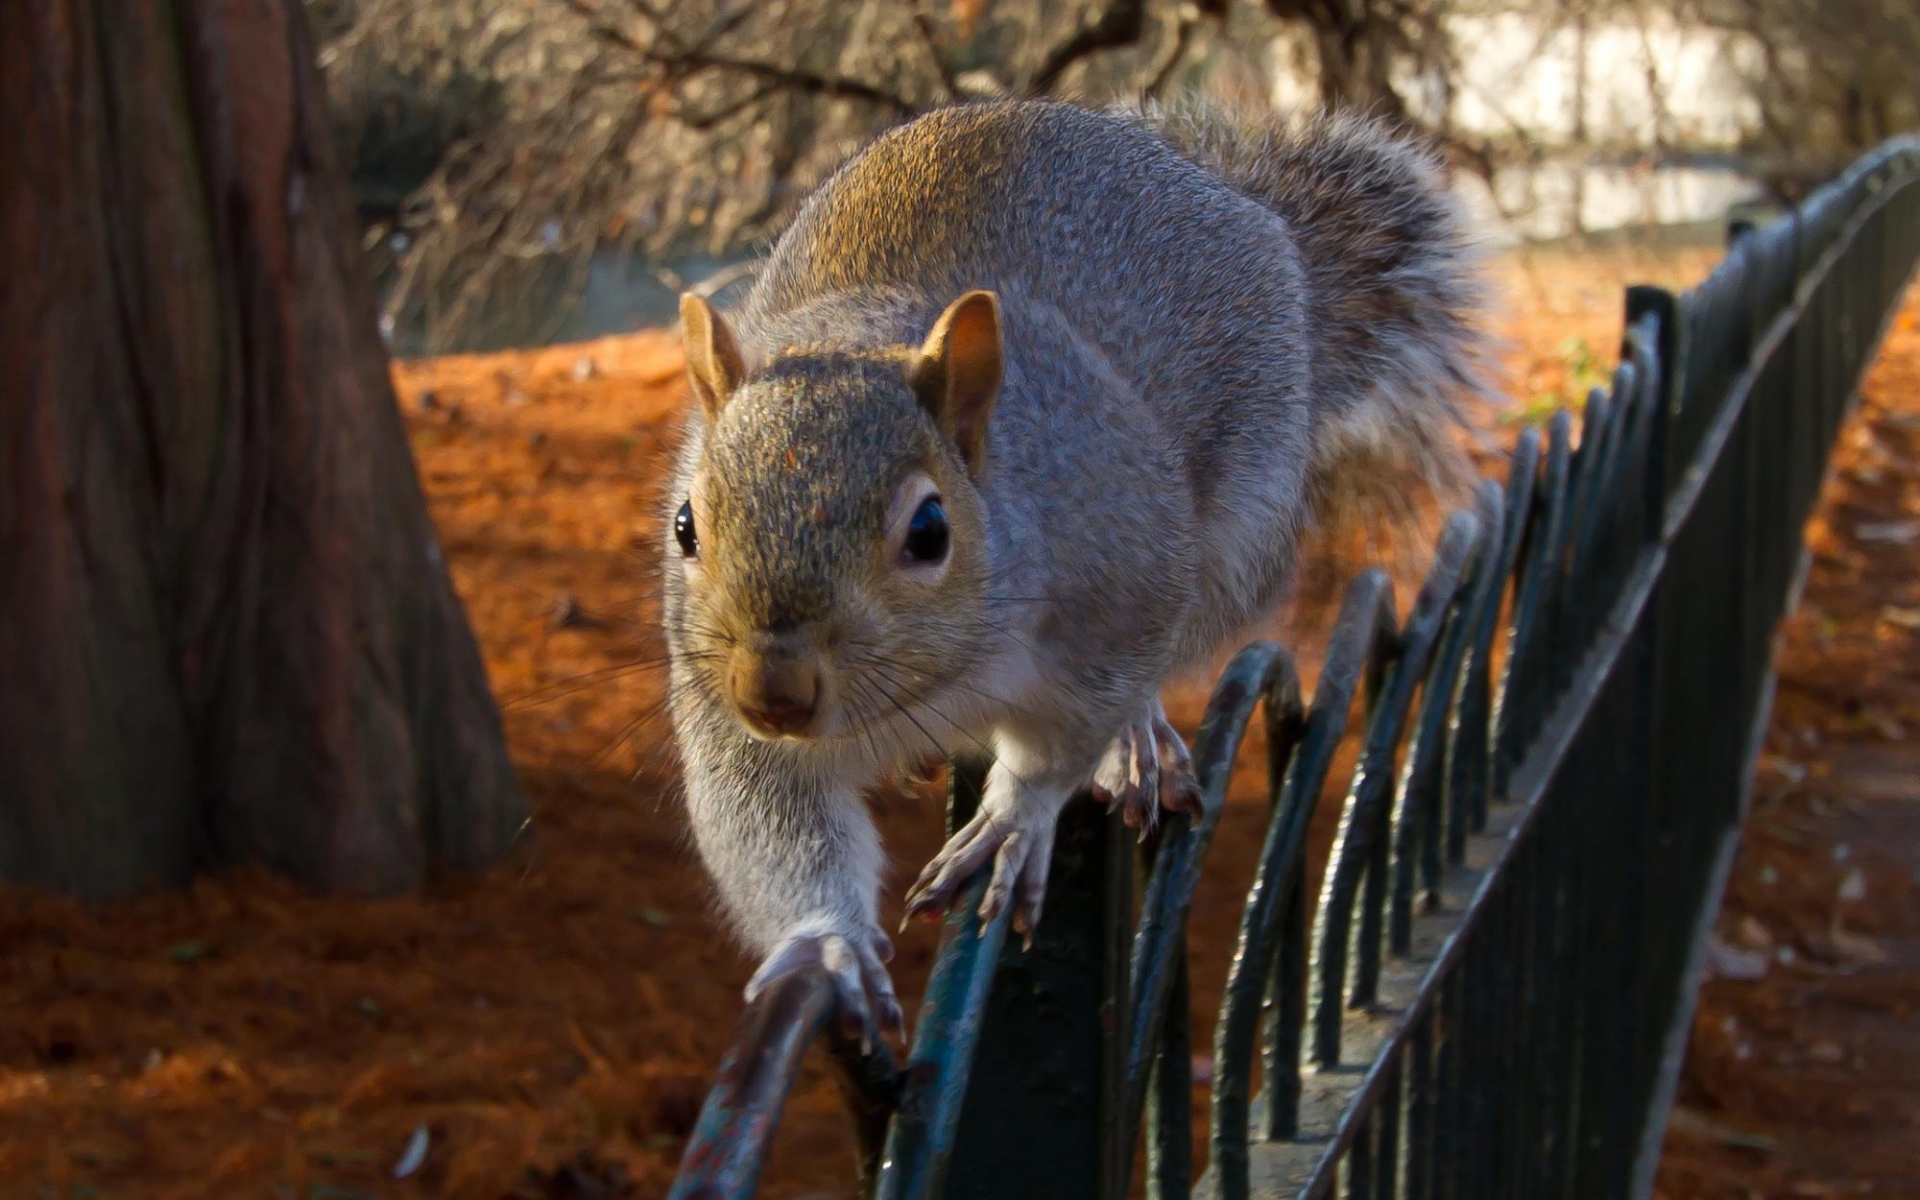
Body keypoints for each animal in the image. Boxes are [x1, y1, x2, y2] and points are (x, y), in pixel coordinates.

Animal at [661, 97, 1486, 1042]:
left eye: (930, 531)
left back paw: (1137, 741)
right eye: (685, 525)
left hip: (1235, 536)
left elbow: (1063, 742)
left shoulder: (1116, 595)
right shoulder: (720, 705)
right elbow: (768, 821)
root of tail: (1245, 208)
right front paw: (827, 944)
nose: (773, 693)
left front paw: (1018, 819)